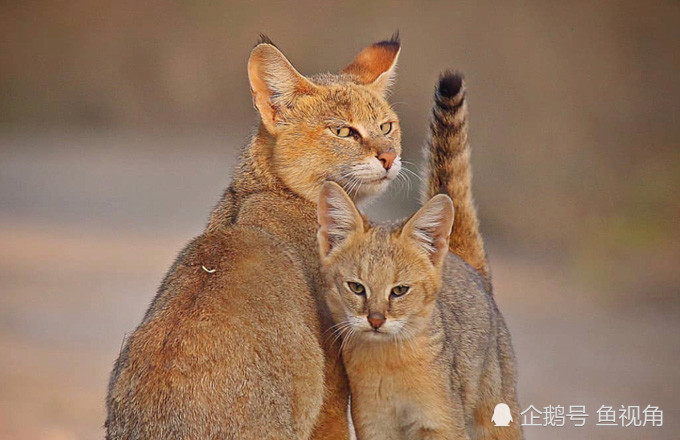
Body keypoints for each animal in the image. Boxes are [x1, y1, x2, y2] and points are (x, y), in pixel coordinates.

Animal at [318, 74, 520, 438]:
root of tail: (465, 264)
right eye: (357, 287)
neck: (389, 367)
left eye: (399, 290)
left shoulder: (441, 424)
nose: (376, 320)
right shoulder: (374, 426)